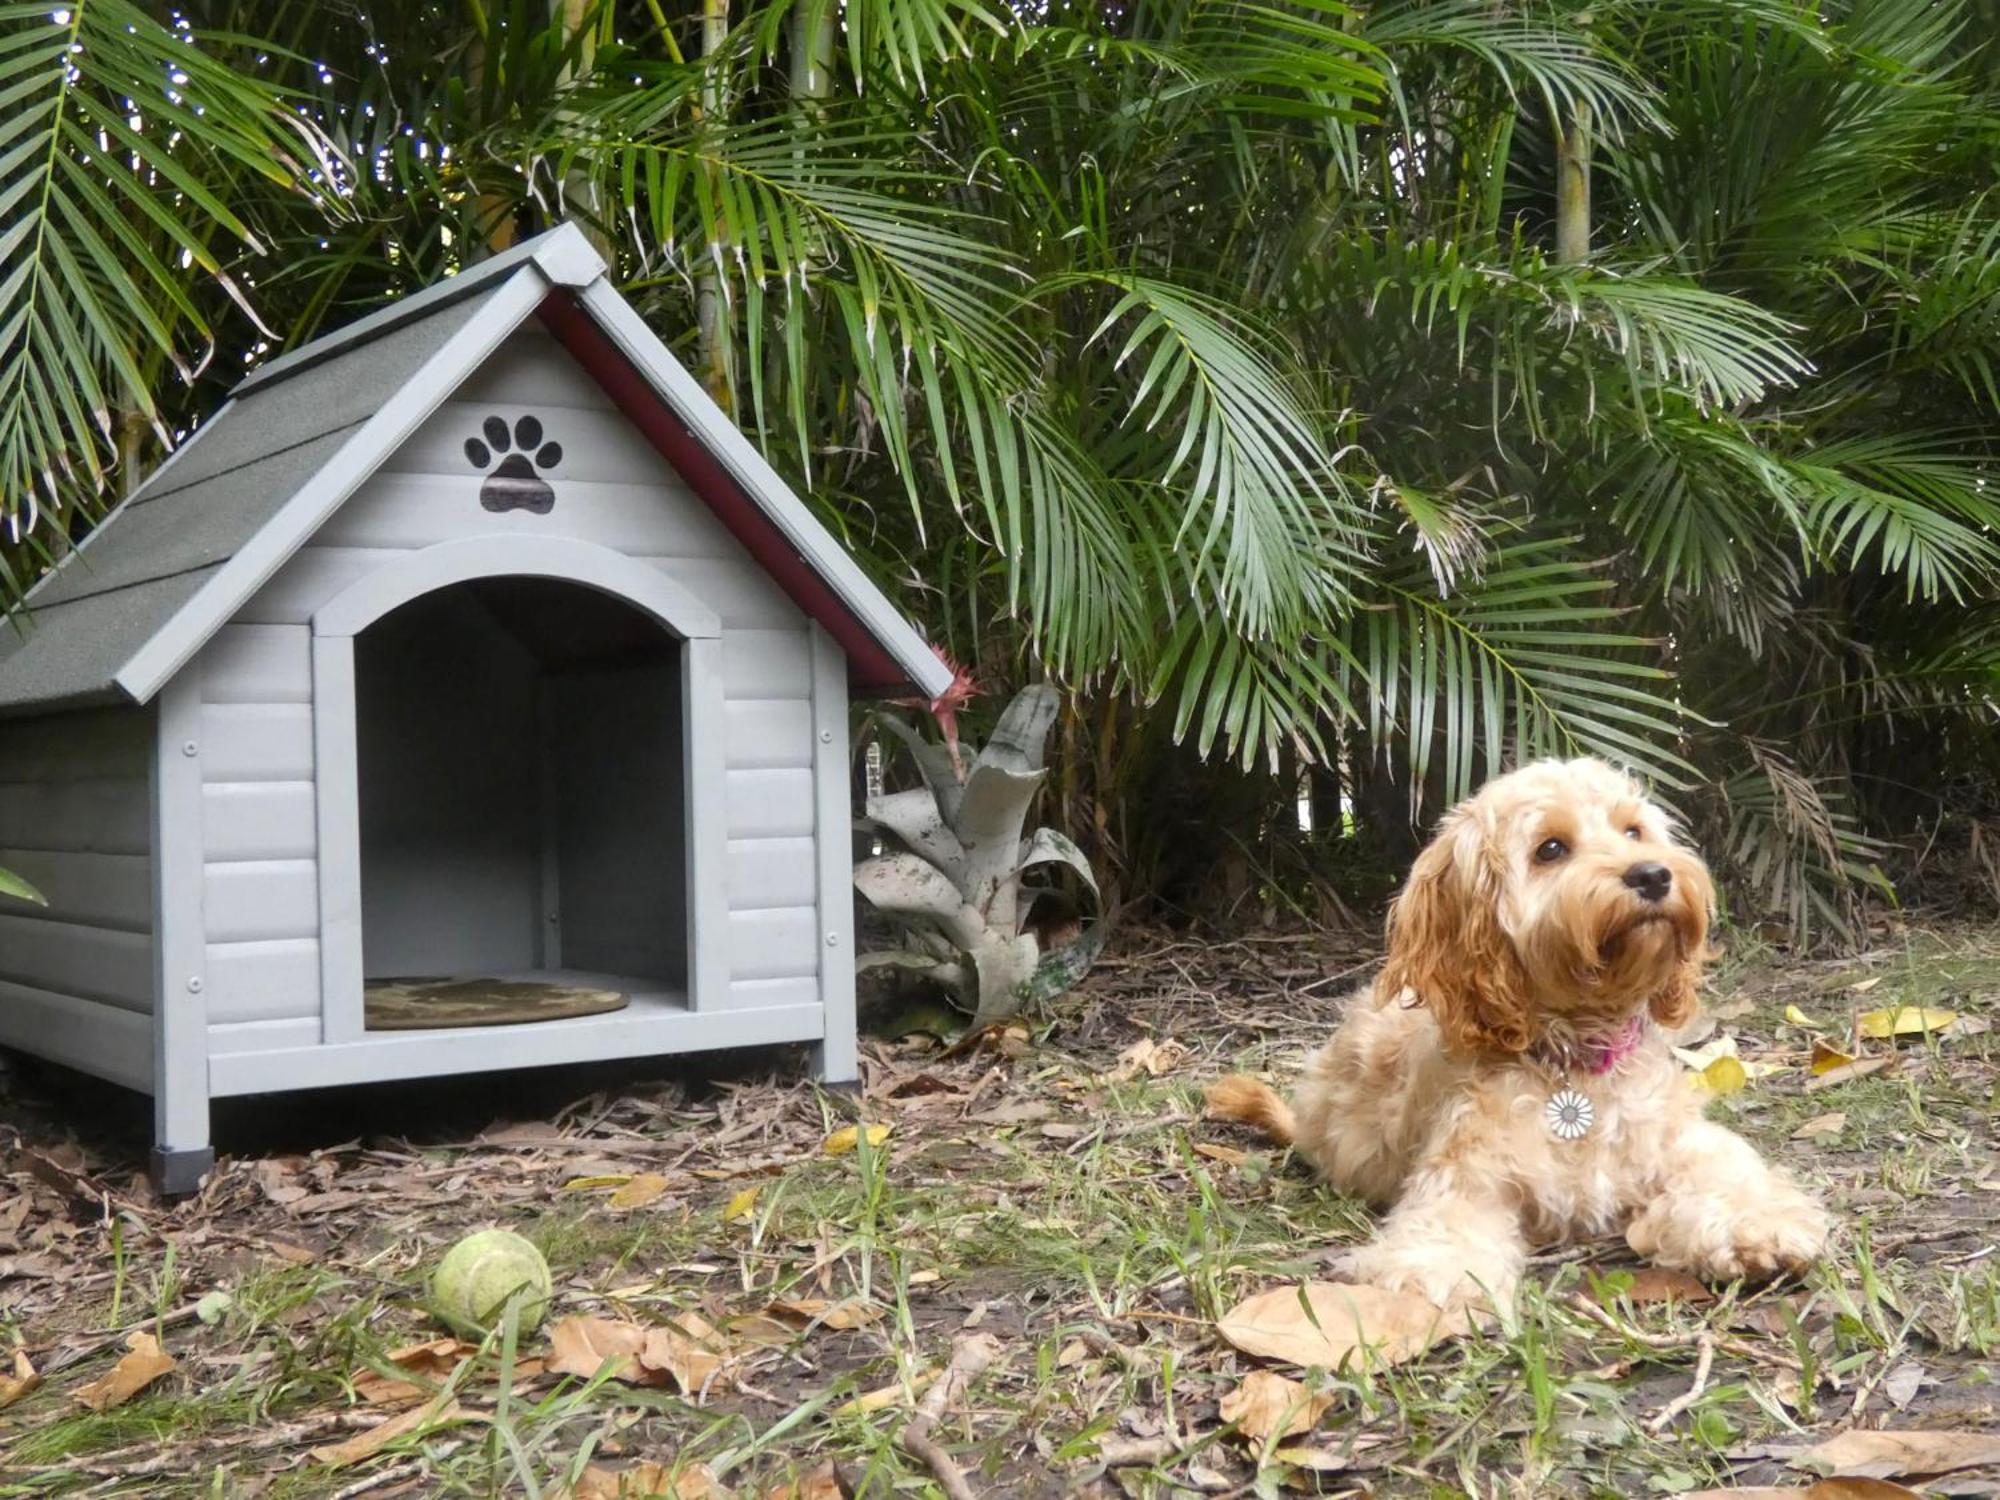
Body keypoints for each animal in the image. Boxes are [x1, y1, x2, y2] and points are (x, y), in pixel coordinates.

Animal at [1200, 764, 1832, 1312]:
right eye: (1550, 849)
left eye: (1633, 830)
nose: (1653, 874)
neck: (1575, 1061)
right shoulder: (1466, 1173)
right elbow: (1446, 1225)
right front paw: (1434, 1274)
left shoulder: (1679, 1140)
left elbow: (1727, 1171)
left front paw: (1757, 1226)